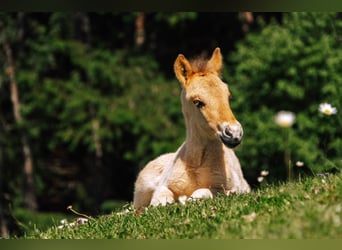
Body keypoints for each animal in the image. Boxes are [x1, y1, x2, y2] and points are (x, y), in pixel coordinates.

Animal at [134, 47, 251, 211]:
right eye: (197, 102)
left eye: (228, 96)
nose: (234, 133)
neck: (197, 163)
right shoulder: (163, 186)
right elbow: (159, 201)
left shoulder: (231, 189)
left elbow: (201, 193)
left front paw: (183, 200)